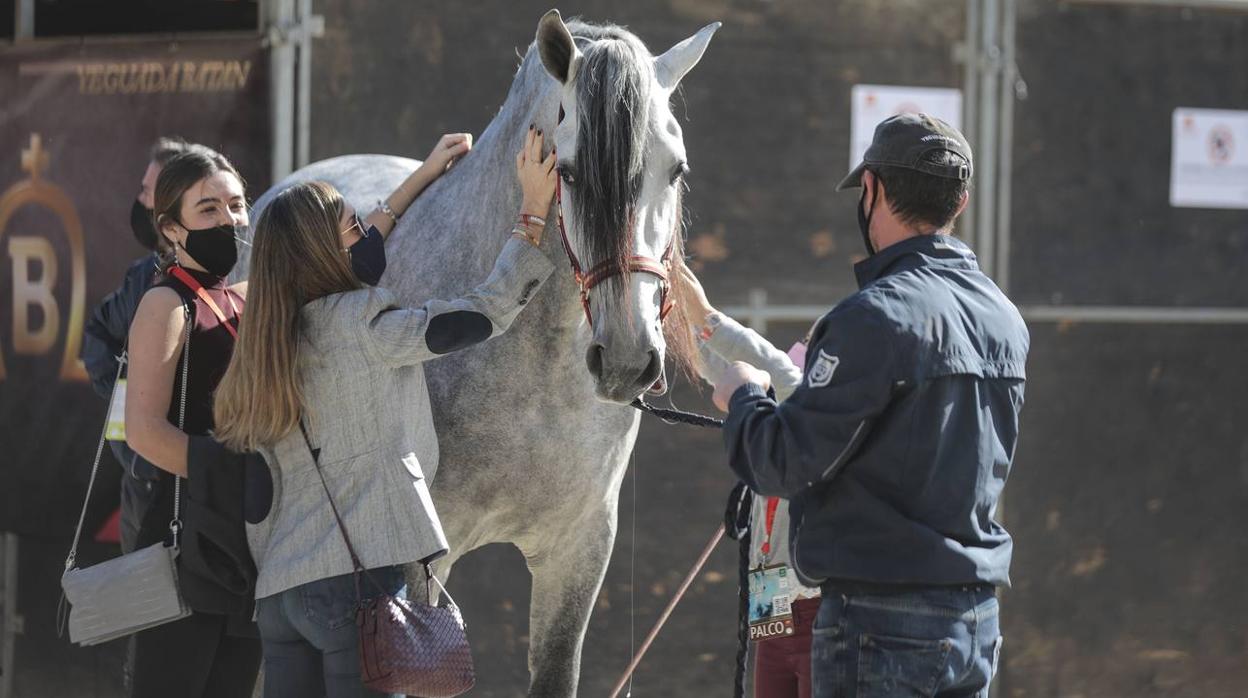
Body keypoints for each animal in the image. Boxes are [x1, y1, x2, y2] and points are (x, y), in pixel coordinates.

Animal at [244, 12, 723, 698]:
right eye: (568, 172)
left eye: (676, 171)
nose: (629, 359)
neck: (534, 372)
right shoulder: (420, 567)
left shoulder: (578, 551)